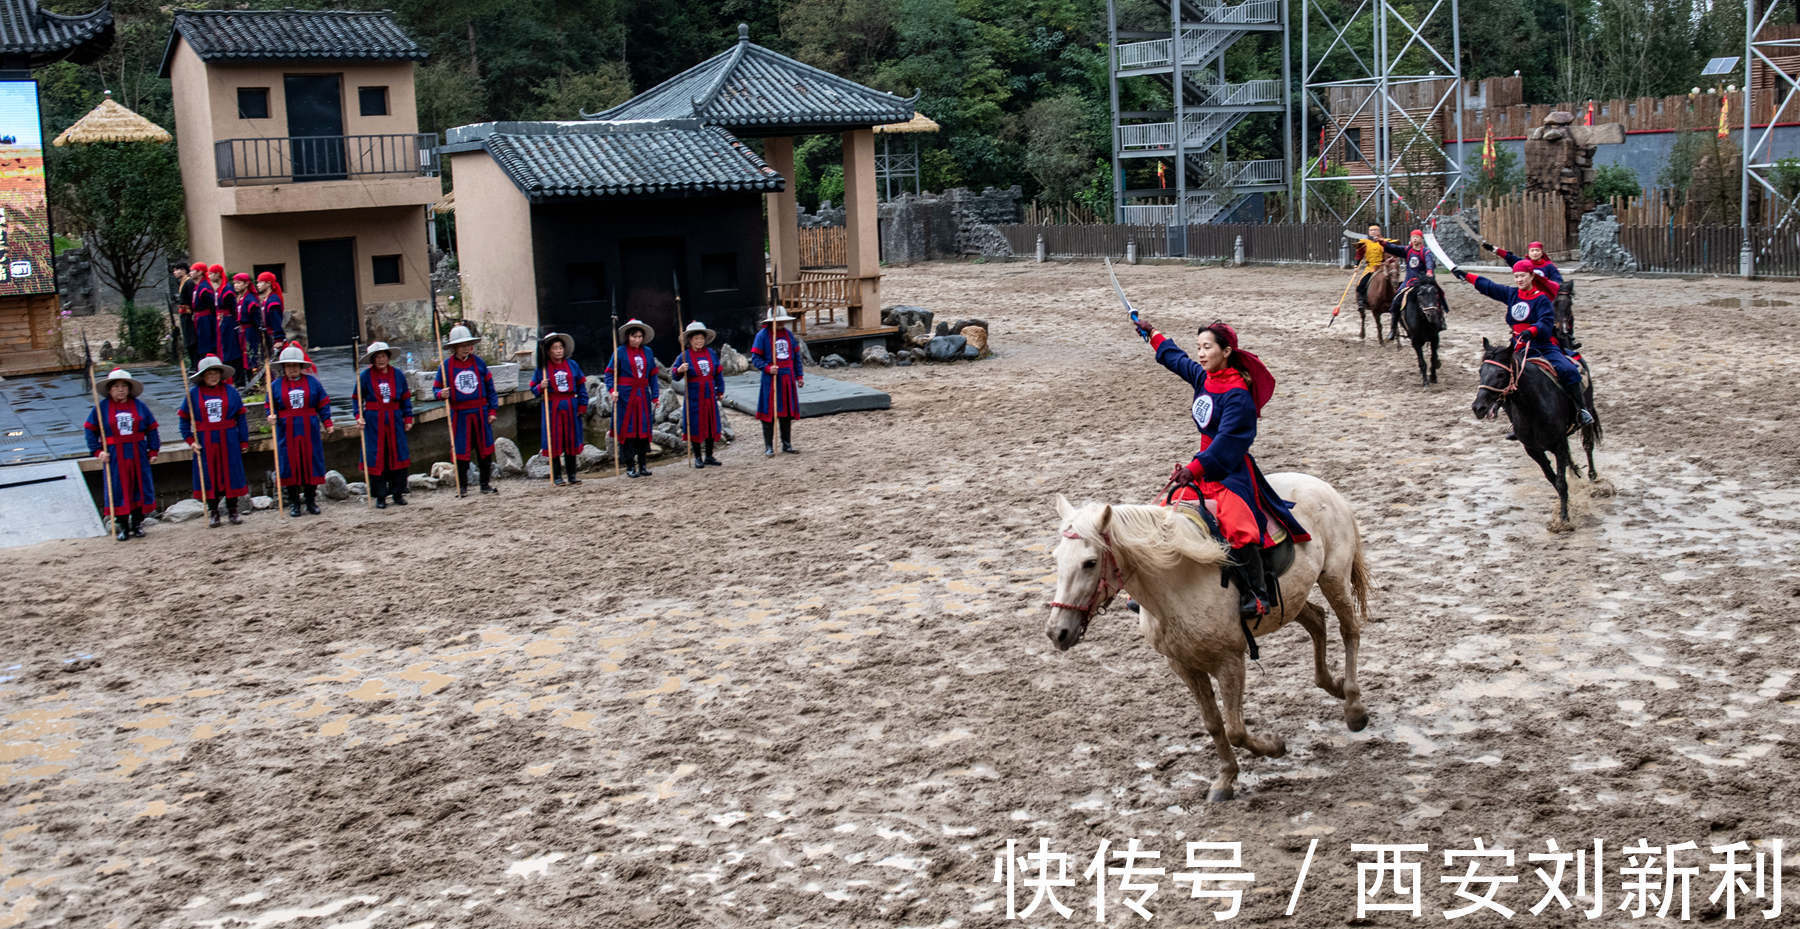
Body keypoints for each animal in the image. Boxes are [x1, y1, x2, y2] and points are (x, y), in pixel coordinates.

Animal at [1051, 475, 1368, 802]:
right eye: (1057, 559)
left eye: (1089, 562)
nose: (1057, 632)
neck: (1175, 583)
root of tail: (1318, 484)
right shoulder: (1183, 665)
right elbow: (1214, 723)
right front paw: (1225, 778)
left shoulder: (1230, 661)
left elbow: (1236, 729)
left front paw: (1274, 746)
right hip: (1292, 601)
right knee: (1317, 621)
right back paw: (1333, 685)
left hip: (1333, 578)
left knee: (1349, 630)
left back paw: (1354, 706)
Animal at [1468, 338, 1612, 529]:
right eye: (1480, 371)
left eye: (1500, 374)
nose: (1478, 407)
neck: (1532, 407)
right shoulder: (1533, 449)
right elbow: (1553, 479)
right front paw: (1566, 508)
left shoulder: (1558, 444)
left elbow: (1560, 482)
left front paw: (1563, 519)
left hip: (1586, 413)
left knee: (1588, 446)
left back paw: (1593, 479)